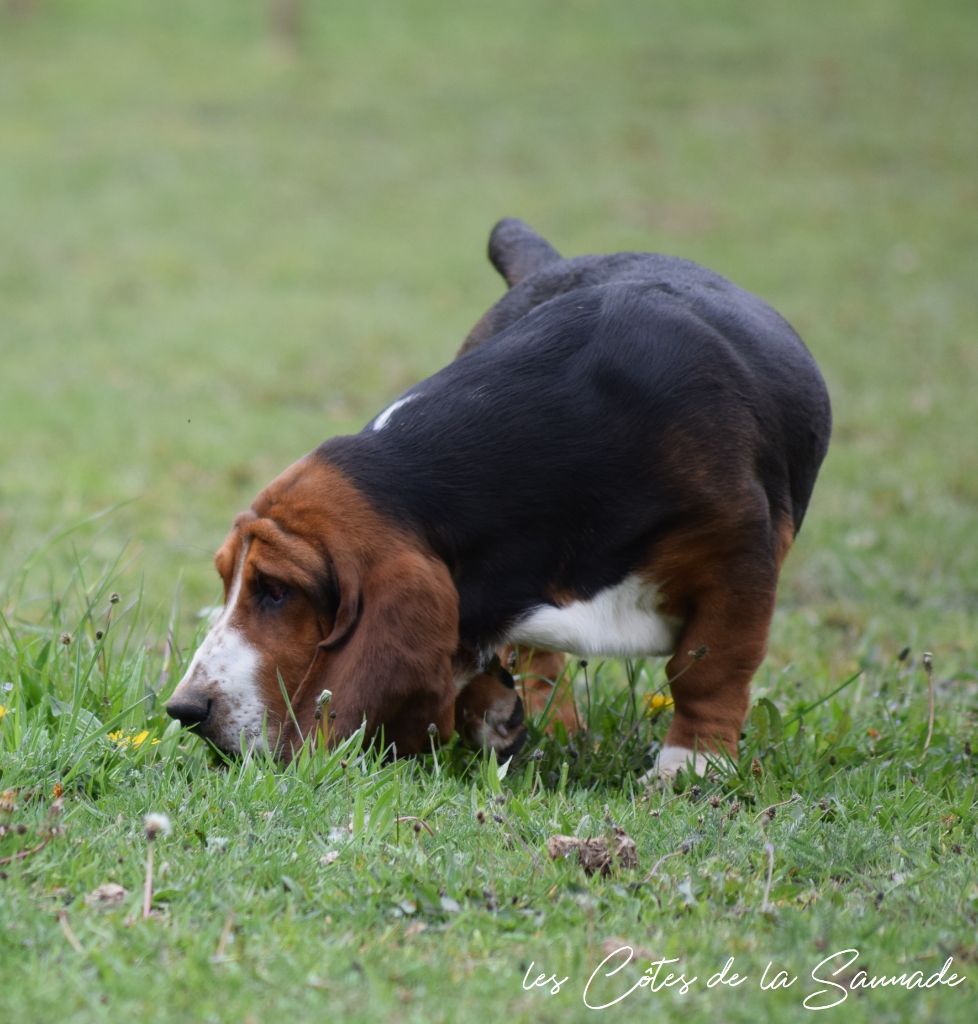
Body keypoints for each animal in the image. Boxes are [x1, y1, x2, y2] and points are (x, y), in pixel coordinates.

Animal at [167, 218, 835, 774]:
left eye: (276, 591)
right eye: (227, 580)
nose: (185, 711)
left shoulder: (740, 556)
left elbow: (710, 666)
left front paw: (691, 765)